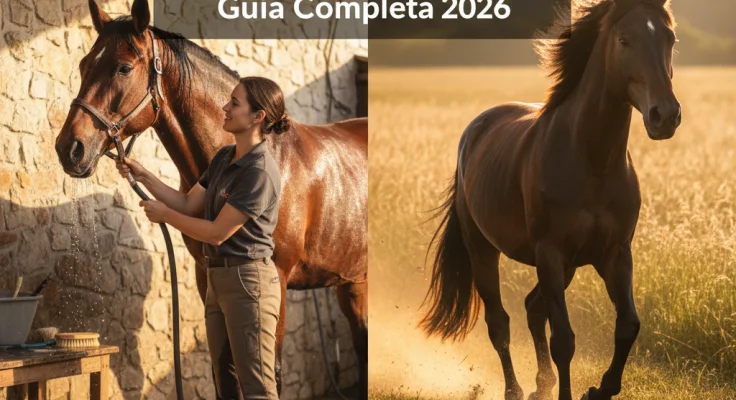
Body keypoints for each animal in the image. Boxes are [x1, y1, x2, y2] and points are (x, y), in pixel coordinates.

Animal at [53, 0, 368, 398]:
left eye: (124, 67)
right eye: (83, 65)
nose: (70, 149)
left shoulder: (276, 281)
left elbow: (271, 373)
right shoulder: (207, 276)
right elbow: (223, 372)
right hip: (353, 281)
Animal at [419, 1, 680, 400]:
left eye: (670, 39)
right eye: (624, 40)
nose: (665, 116)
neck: (592, 160)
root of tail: (475, 130)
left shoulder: (615, 253)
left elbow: (628, 326)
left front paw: (598, 390)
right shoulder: (550, 253)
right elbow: (564, 341)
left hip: (567, 266)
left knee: (532, 308)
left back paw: (540, 385)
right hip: (483, 250)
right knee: (499, 323)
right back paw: (514, 390)